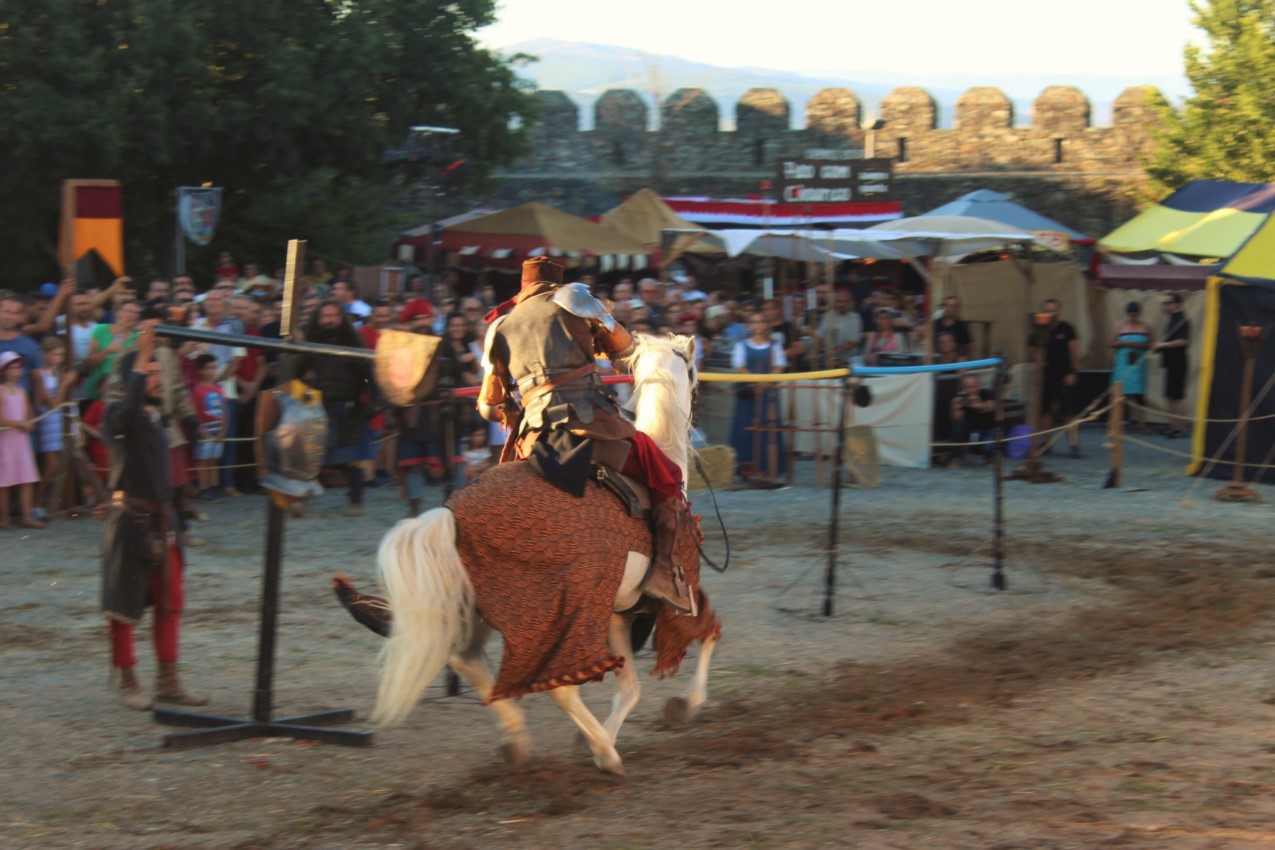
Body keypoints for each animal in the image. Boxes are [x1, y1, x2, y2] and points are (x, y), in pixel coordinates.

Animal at [359, 336, 719, 774]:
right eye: (694, 372)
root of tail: (450, 514)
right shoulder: (676, 598)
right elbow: (706, 634)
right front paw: (686, 704)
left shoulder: (618, 614)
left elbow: (630, 688)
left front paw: (592, 738)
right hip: (552, 618)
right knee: (557, 687)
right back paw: (605, 751)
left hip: (482, 612)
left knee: (467, 661)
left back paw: (521, 741)